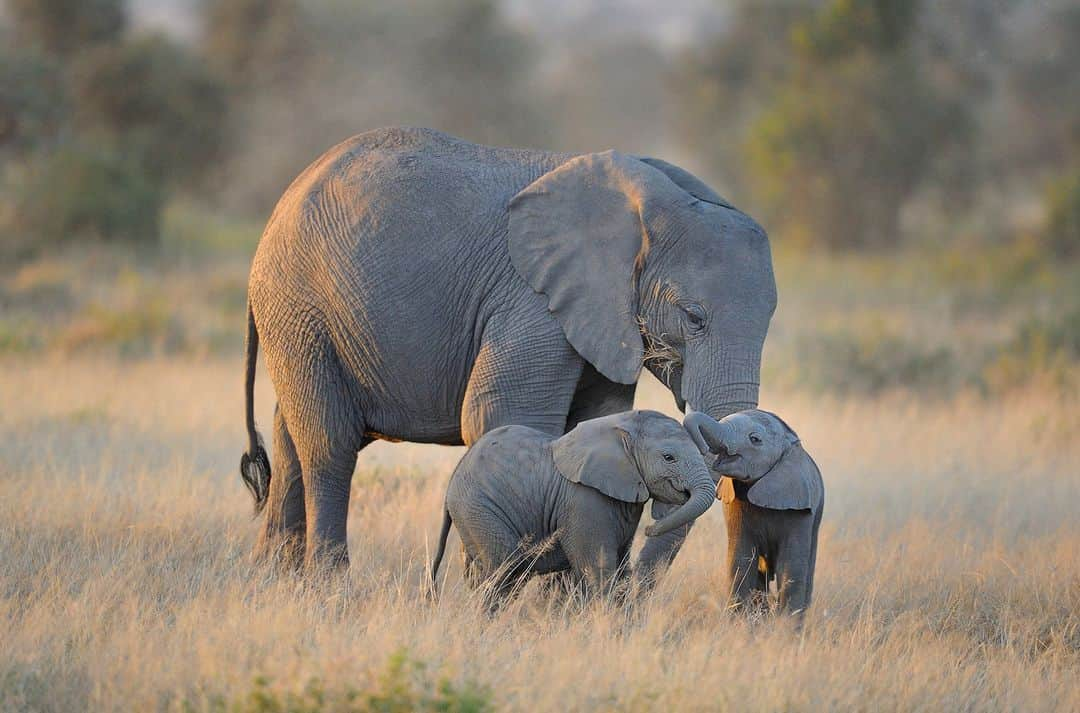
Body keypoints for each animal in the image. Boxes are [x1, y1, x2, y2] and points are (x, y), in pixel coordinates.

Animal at [238, 125, 777, 570]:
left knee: (290, 439)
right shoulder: (531, 301)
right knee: (328, 445)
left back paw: (274, 583)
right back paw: (330, 586)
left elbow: (593, 423)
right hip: (299, 306)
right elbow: (502, 415)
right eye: (693, 317)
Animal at [427, 408, 717, 604]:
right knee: (504, 571)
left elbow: (621, 567)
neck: (621, 426)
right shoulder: (584, 500)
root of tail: (454, 478)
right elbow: (599, 568)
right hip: (479, 509)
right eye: (669, 457)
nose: (649, 529)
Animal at [695, 412, 820, 617]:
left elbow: (790, 567)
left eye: (754, 439)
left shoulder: (800, 507)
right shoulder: (735, 503)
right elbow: (741, 561)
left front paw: (786, 625)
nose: (703, 448)